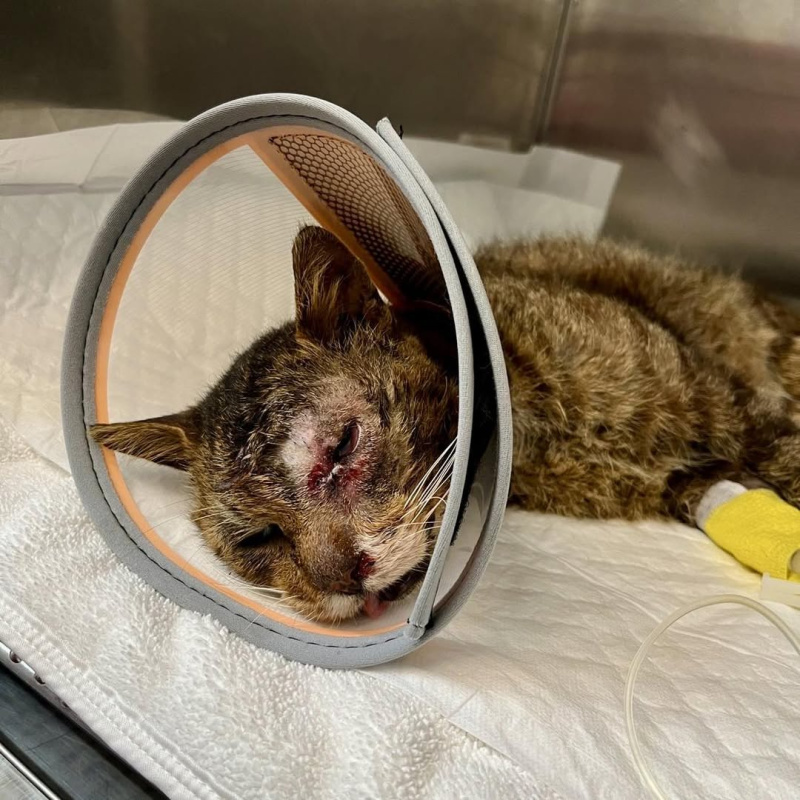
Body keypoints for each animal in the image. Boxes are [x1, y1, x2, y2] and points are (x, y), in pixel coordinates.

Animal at [92, 225, 800, 623]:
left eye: (341, 445)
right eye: (257, 539)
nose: (340, 580)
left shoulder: (731, 407)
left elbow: (780, 447)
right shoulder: (684, 476)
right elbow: (724, 490)